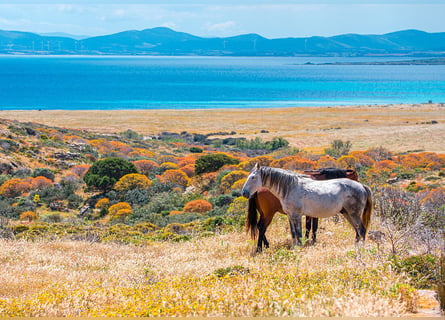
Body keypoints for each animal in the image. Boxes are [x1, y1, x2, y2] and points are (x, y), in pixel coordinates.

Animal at [241, 162, 372, 248]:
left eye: (253, 177)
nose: (244, 193)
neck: (290, 187)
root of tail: (362, 187)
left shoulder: (297, 215)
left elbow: (300, 233)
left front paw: (301, 248)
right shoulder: (291, 216)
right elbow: (294, 233)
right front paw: (295, 248)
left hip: (353, 214)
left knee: (361, 230)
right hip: (347, 213)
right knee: (358, 230)